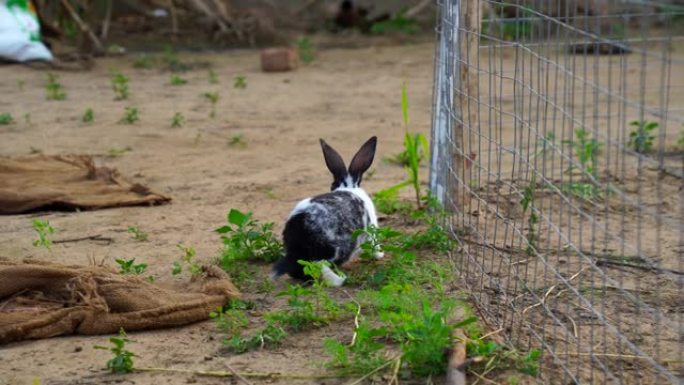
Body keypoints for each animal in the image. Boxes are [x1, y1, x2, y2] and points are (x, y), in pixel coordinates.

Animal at [270, 135, 382, 284]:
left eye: (332, 184)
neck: (348, 186)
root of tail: (301, 228)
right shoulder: (371, 232)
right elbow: (374, 246)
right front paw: (379, 255)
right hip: (334, 249)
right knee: (319, 266)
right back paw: (339, 279)